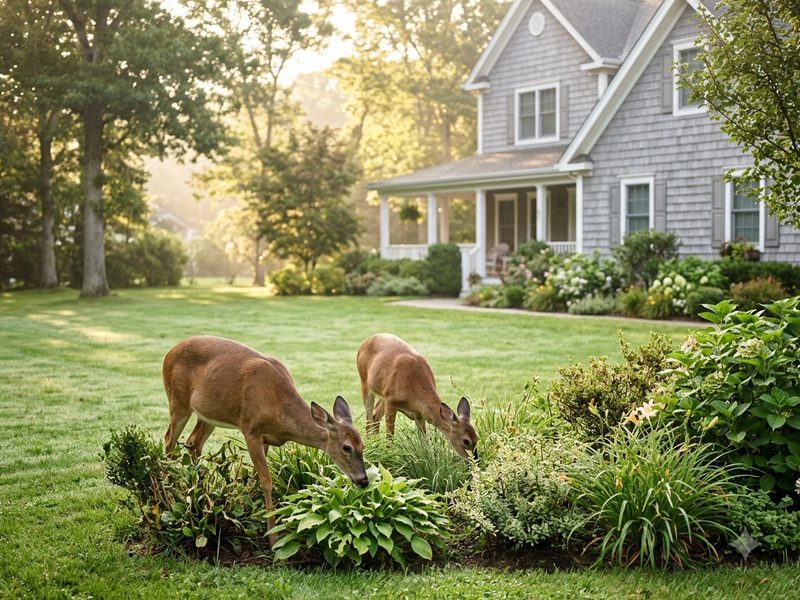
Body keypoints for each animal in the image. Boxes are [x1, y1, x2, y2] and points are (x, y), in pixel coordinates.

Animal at [162, 335, 368, 547]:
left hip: (208, 413)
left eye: (363, 445)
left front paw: (253, 514)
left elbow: (255, 477)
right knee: (169, 440)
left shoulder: (267, 438)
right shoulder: (250, 430)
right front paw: (271, 536)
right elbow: (267, 480)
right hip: (177, 400)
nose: (364, 480)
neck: (279, 408)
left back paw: (199, 493)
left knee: (193, 442)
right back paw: (170, 493)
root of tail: (170, 352)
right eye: (347, 447)